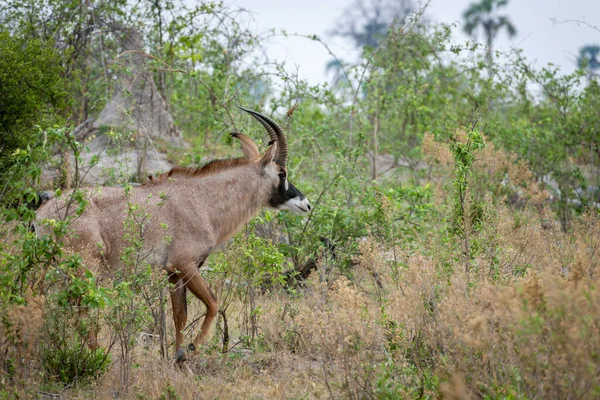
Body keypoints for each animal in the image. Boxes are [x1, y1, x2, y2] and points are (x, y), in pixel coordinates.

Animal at [35, 108, 312, 364]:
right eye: (282, 173)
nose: (306, 204)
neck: (203, 201)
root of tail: (43, 213)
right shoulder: (184, 264)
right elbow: (213, 303)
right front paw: (190, 348)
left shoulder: (173, 273)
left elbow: (180, 314)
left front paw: (179, 358)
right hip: (85, 268)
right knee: (81, 307)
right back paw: (96, 357)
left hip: (52, 266)